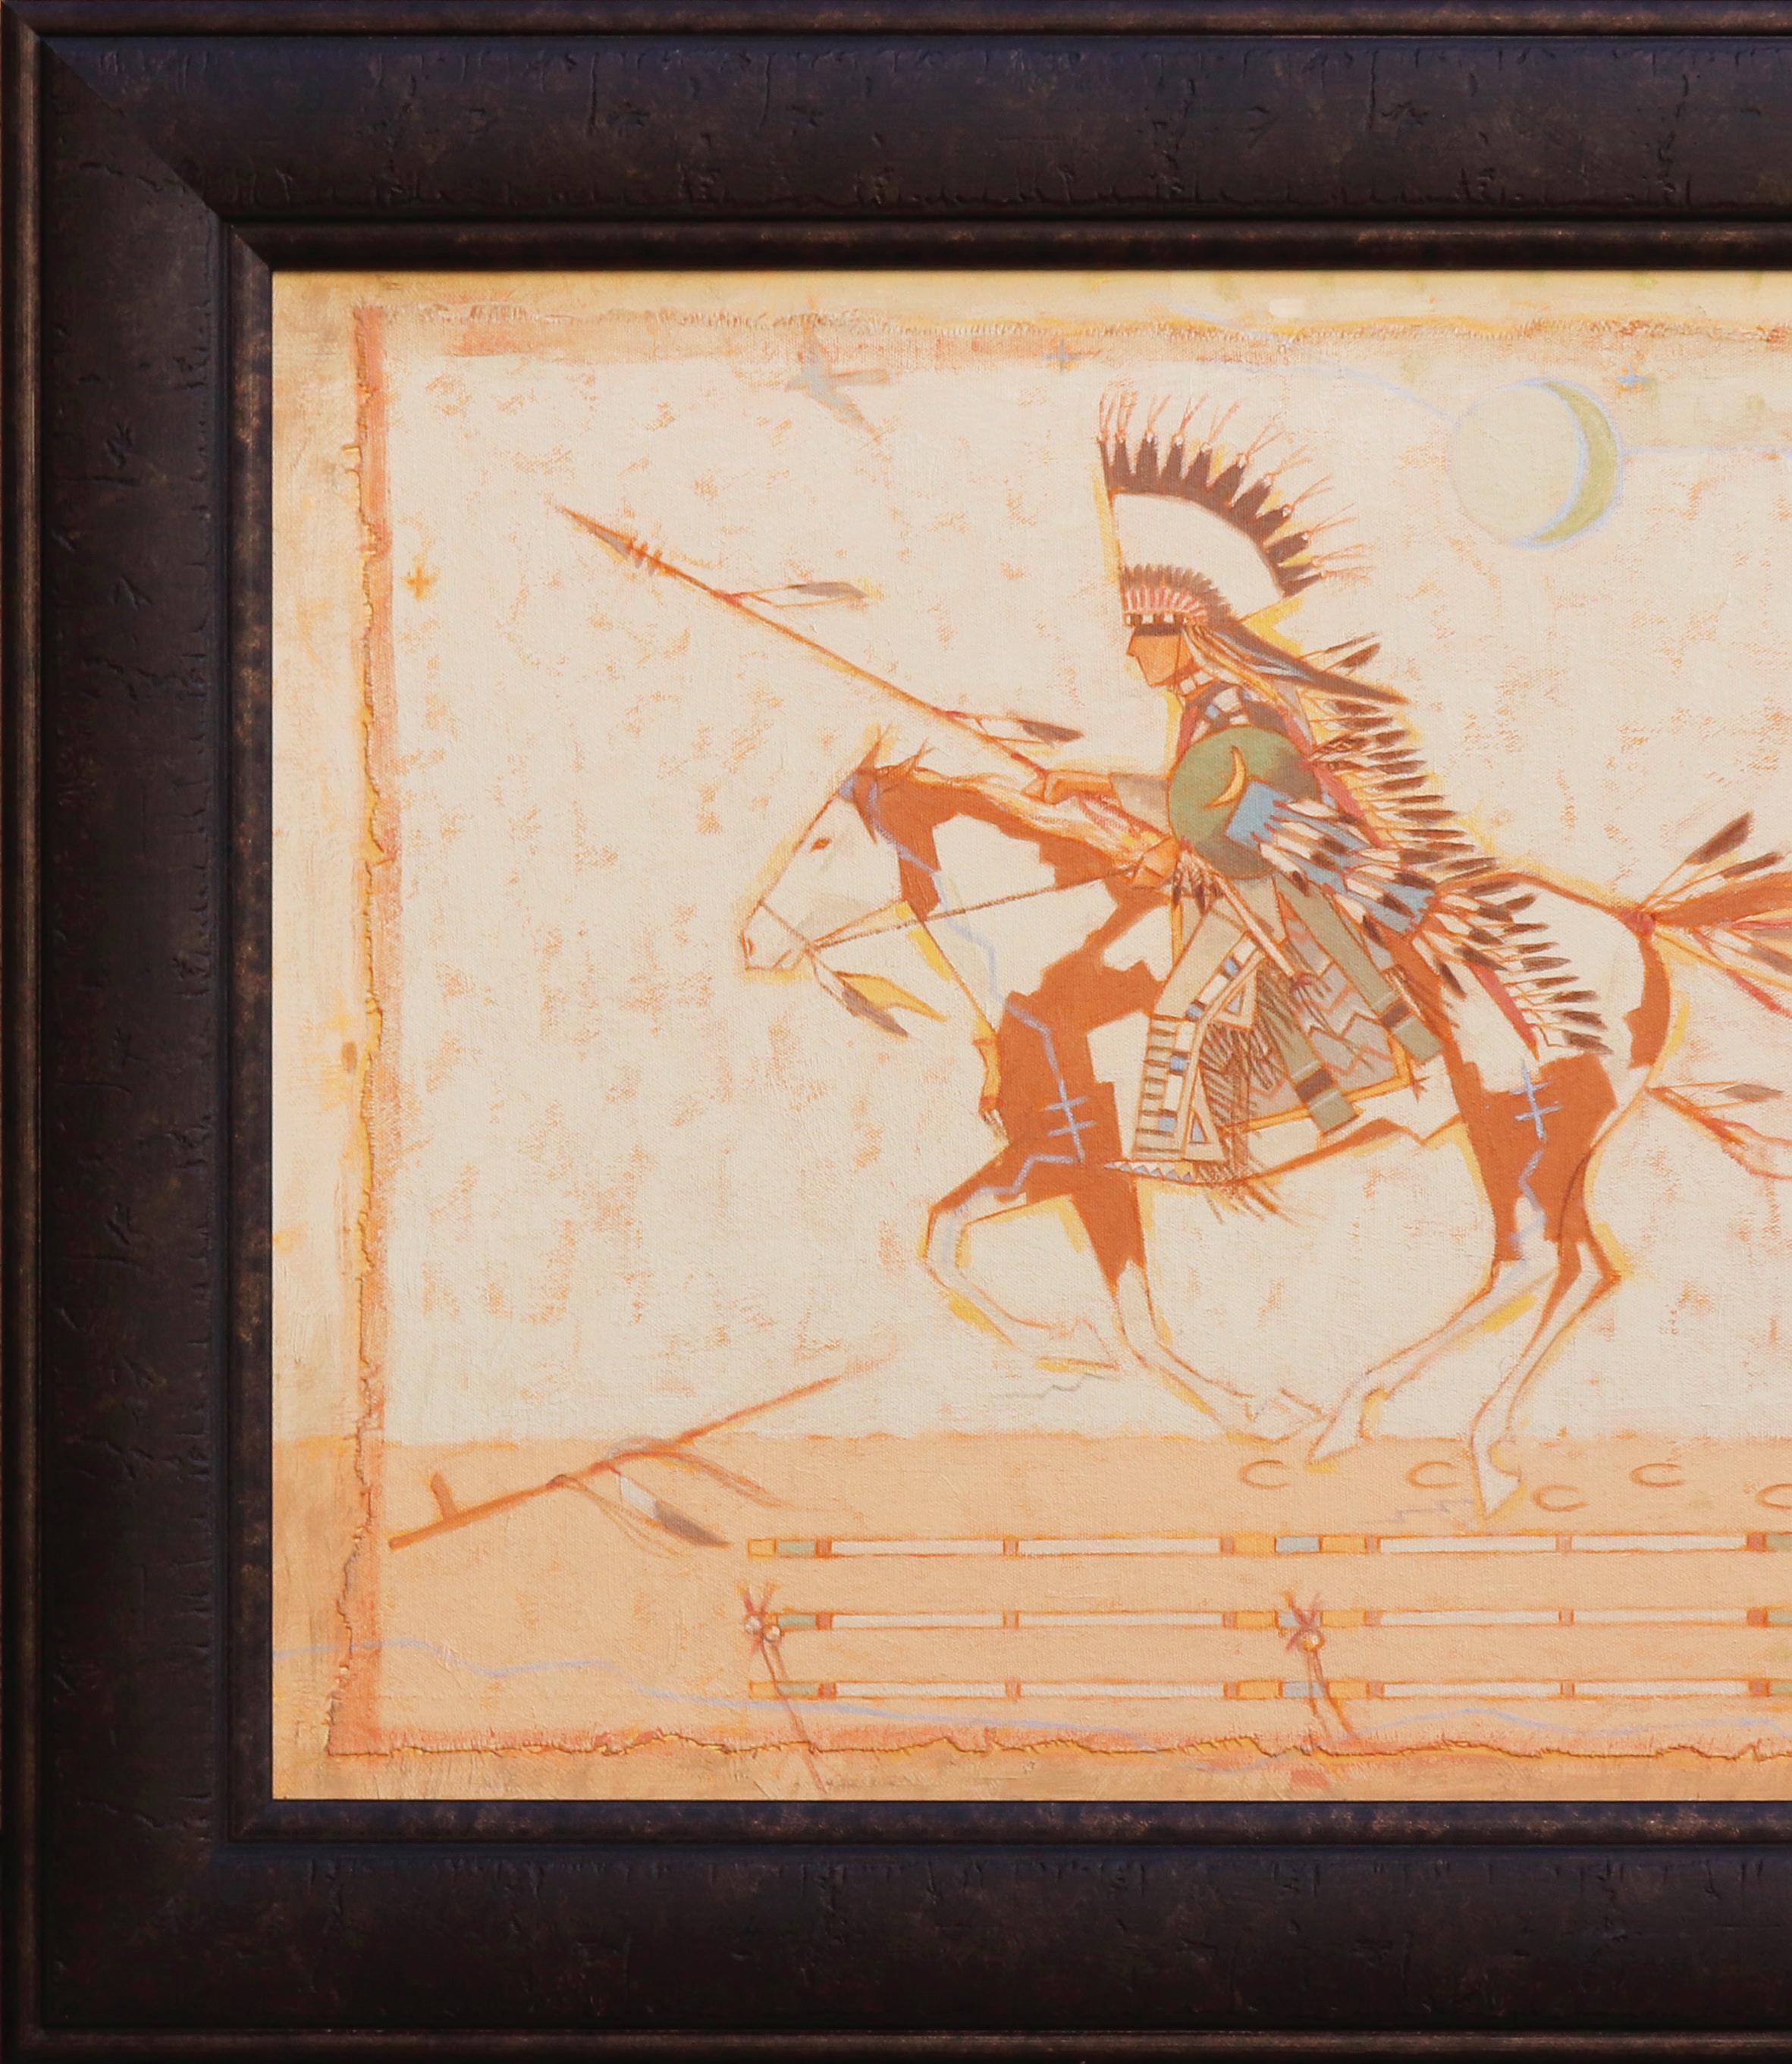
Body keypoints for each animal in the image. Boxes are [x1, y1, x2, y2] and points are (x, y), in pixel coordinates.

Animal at [741, 748, 1792, 1510]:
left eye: (821, 843)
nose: (751, 939)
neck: (1060, 958)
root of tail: (1635, 925)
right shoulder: (1062, 1163)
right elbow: (958, 1242)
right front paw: (1085, 1352)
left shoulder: (1075, 1158)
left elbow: (1100, 1308)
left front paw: (1232, 1402)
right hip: (1562, 1147)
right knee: (1583, 1270)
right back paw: (1480, 1444)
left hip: (1518, 1131)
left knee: (1529, 1262)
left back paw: (1360, 1414)